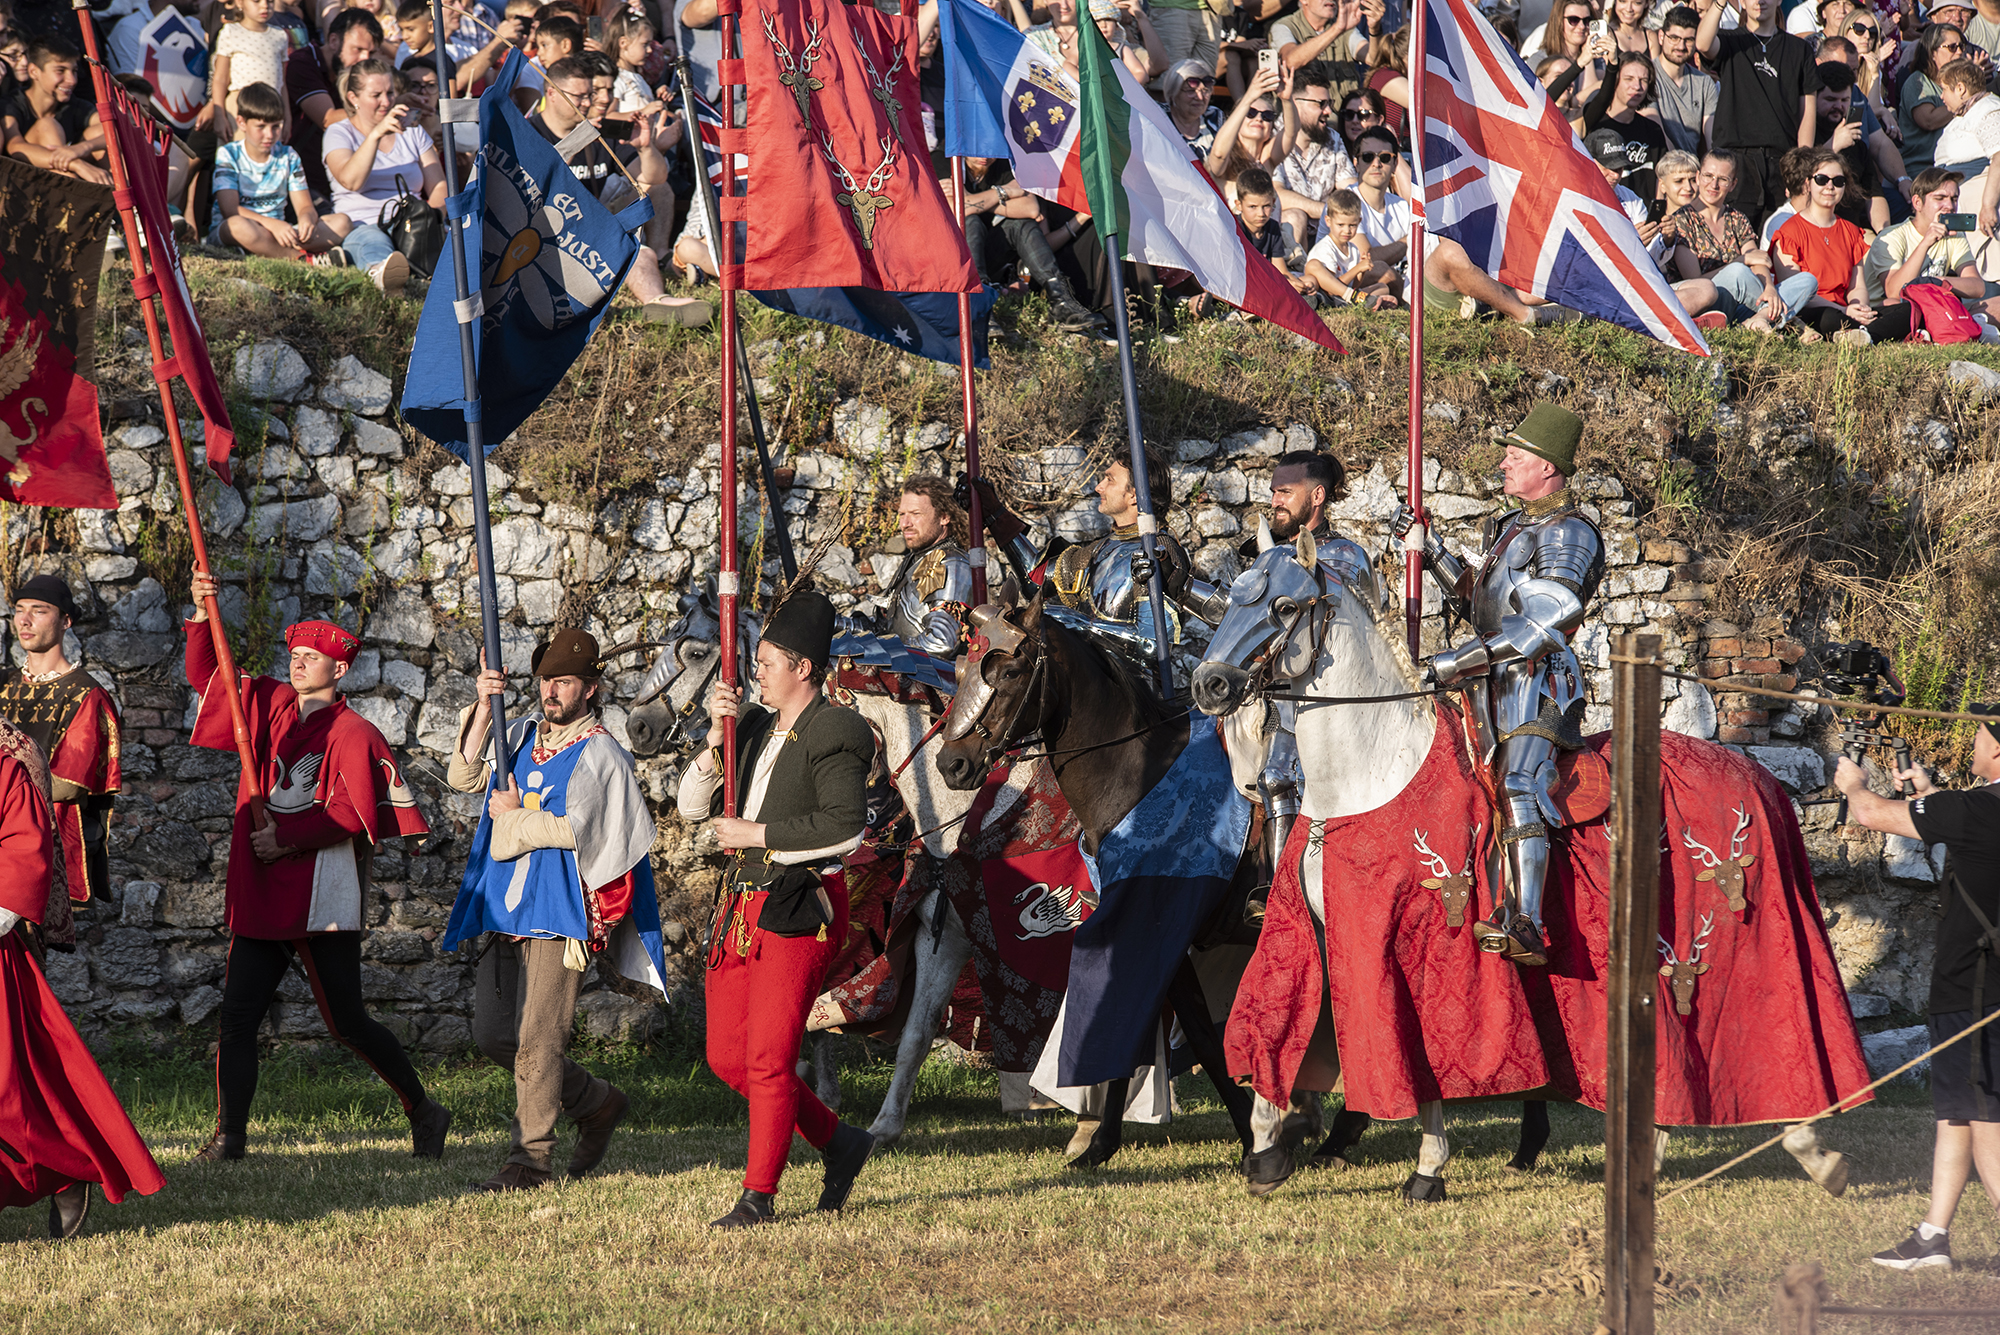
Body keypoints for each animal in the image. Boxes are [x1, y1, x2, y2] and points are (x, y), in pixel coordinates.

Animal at [932, 595, 1248, 1167]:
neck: (1133, 775)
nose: (952, 764)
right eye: (963, 669)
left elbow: (1126, 1019)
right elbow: (1181, 1030)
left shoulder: (1146, 925)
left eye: (1009, 672)